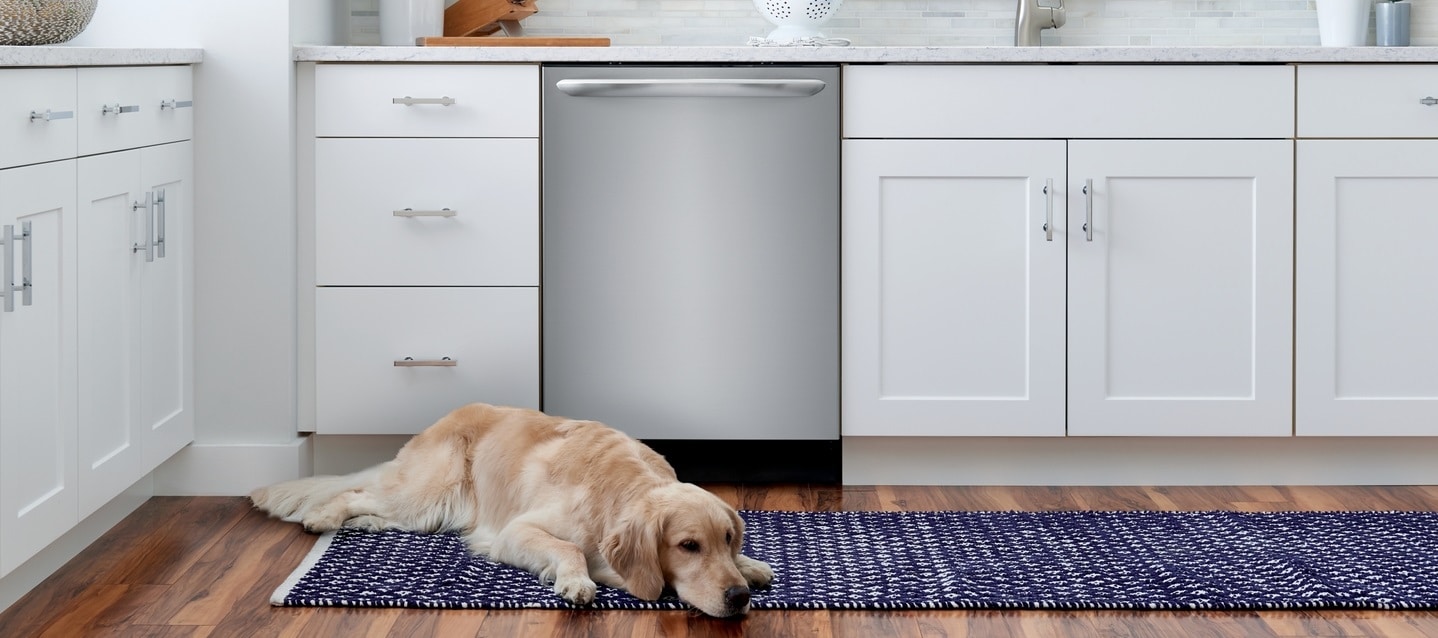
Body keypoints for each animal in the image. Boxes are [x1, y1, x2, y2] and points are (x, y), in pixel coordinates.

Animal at [253, 402, 770, 615]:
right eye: (687, 546)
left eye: (726, 539)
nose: (738, 598)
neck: (618, 489)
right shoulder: (516, 532)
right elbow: (570, 549)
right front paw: (577, 581)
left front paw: (751, 565)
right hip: (429, 491)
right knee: (355, 493)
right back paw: (322, 517)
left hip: (421, 513)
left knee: (376, 508)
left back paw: (358, 523)